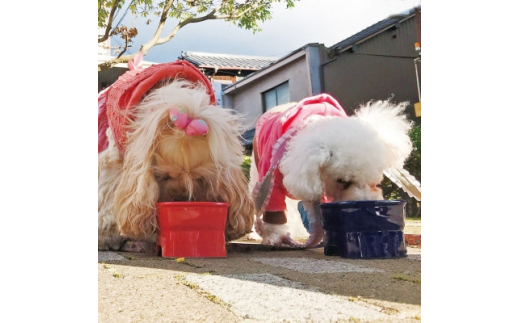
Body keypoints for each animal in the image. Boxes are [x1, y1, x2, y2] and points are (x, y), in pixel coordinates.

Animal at [252, 93, 414, 248]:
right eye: (342, 181)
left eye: (375, 181)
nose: (366, 206)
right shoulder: (272, 182)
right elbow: (274, 212)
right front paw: (274, 237)